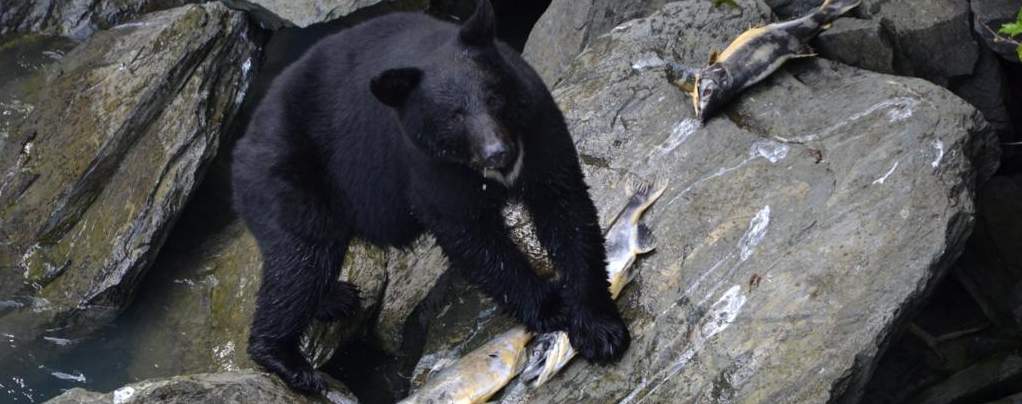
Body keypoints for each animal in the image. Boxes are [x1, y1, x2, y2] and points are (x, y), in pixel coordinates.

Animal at [234, 0, 625, 394]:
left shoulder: (538, 125)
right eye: (455, 116)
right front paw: (550, 306)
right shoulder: (428, 162)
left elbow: (567, 210)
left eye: (494, 97)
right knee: (302, 259)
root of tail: (244, 144)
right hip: (291, 179)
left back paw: (333, 299)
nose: (497, 153)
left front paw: (599, 328)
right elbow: (471, 236)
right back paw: (288, 362)